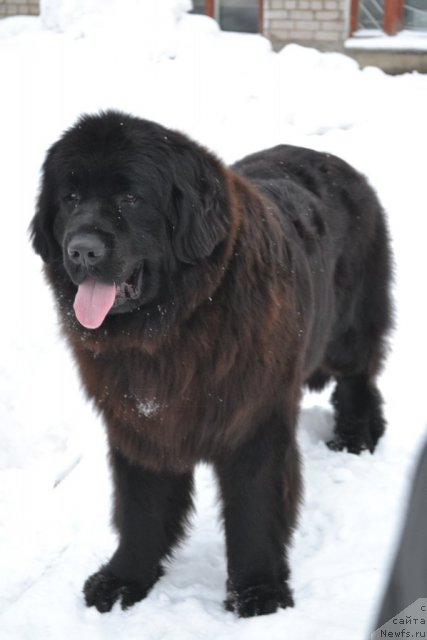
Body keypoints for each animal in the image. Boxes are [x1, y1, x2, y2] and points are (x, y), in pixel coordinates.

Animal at [30, 112, 392, 616]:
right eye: (71, 196)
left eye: (131, 197)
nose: (81, 249)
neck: (174, 329)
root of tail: (334, 161)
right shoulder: (139, 423)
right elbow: (139, 509)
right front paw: (124, 579)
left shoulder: (255, 419)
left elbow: (255, 508)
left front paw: (259, 592)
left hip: (349, 325)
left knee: (359, 375)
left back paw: (356, 435)